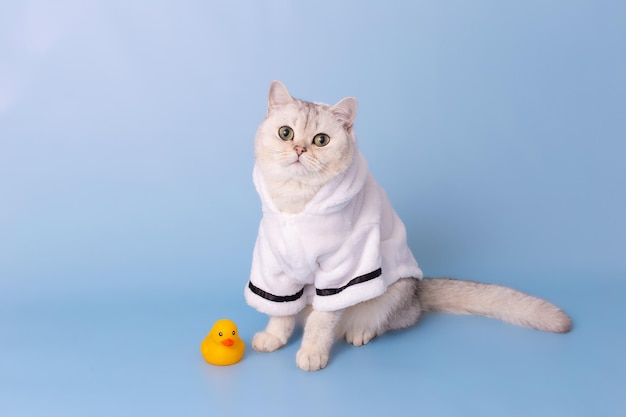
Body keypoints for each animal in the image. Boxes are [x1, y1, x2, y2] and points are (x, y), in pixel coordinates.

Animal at [245, 81, 572, 370]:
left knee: (391, 320)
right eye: (285, 133)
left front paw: (312, 353)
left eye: (321, 140)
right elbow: (280, 312)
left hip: (390, 292)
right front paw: (274, 337)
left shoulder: (341, 271)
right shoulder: (274, 269)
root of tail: (418, 289)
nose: (300, 150)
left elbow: (321, 322)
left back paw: (361, 331)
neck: (296, 202)